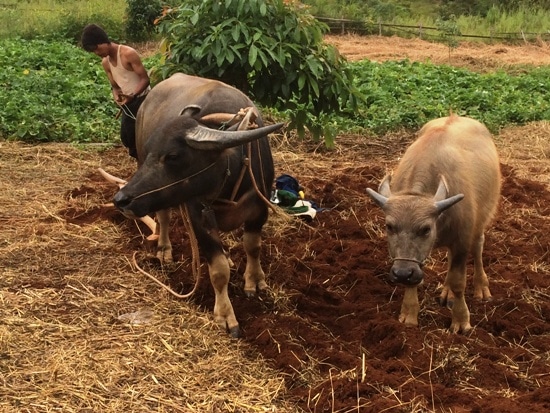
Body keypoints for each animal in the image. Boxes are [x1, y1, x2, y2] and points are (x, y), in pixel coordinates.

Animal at [112, 73, 284, 338]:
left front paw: (254, 281)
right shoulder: (198, 216)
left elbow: (253, 246)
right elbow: (218, 270)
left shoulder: (259, 209)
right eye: (151, 151)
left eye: (173, 156)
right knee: (163, 216)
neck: (230, 176)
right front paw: (225, 316)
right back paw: (164, 249)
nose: (122, 199)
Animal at [368, 115, 502, 332]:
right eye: (389, 226)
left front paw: (461, 320)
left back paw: (481, 287)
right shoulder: (414, 261)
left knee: (478, 247)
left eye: (425, 229)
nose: (401, 273)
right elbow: (416, 279)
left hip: (483, 218)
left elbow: (458, 282)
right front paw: (409, 313)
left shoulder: (462, 241)